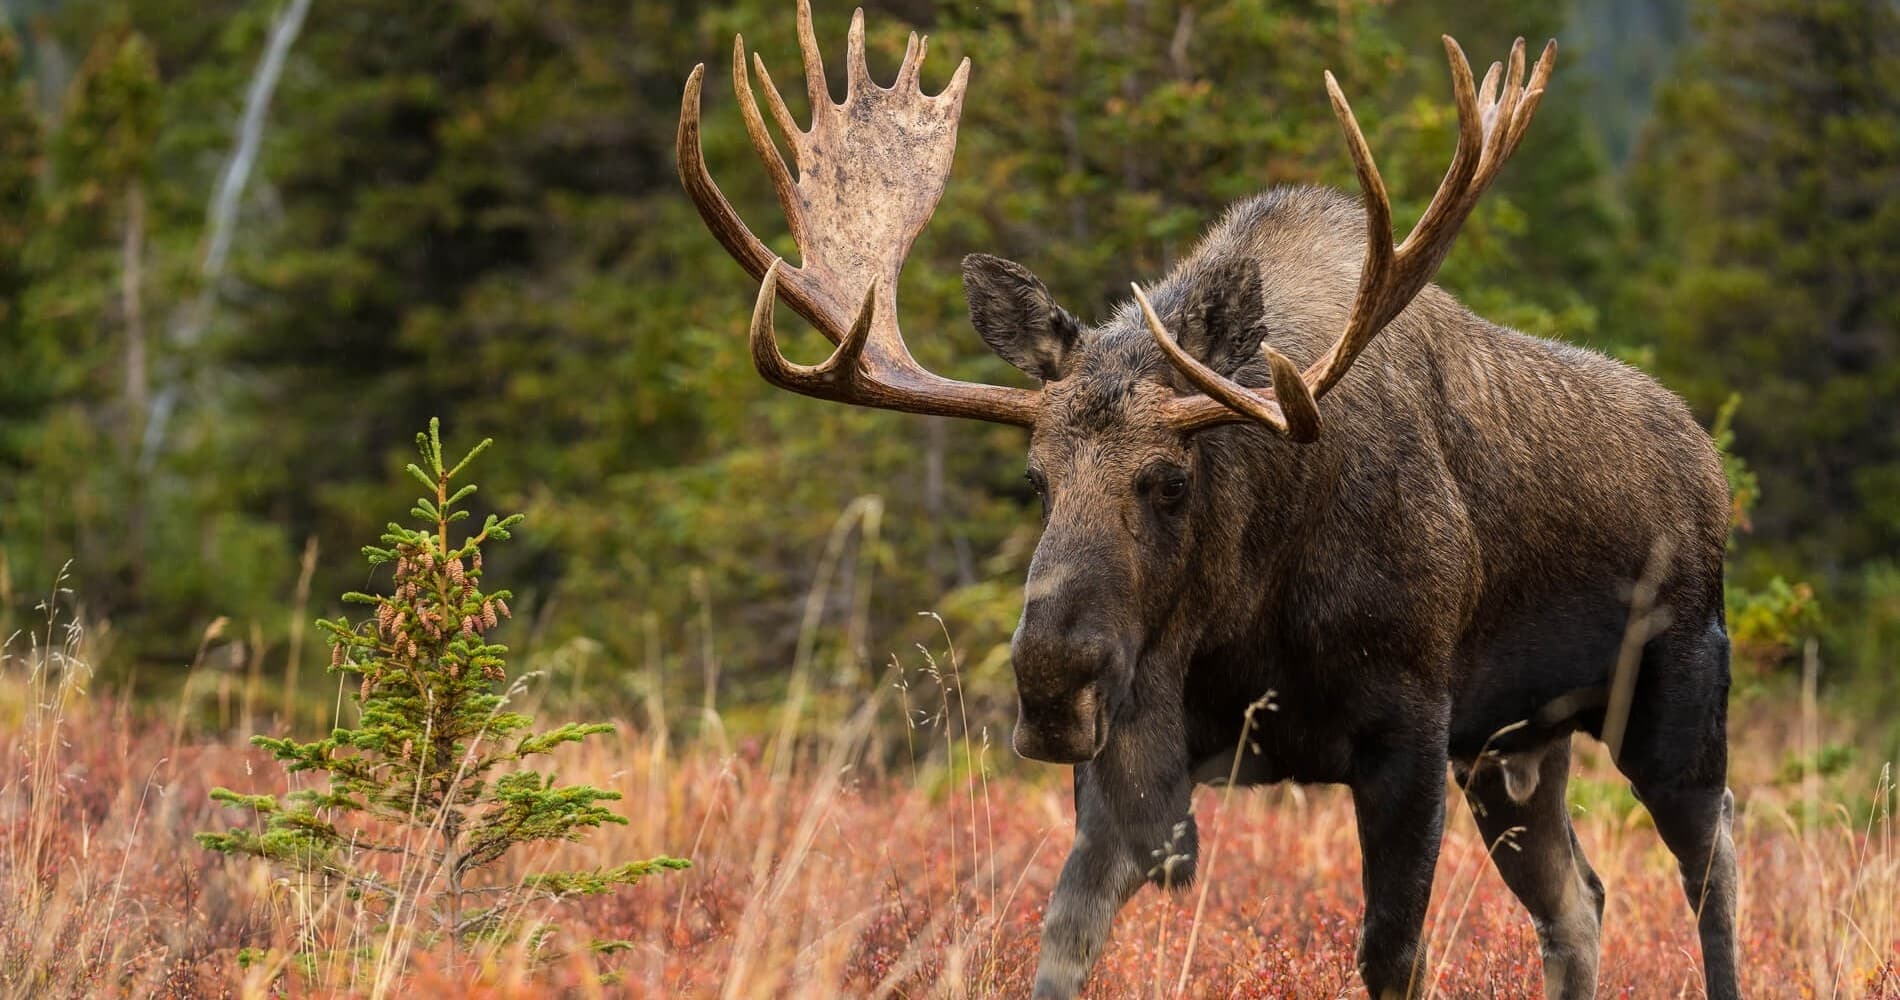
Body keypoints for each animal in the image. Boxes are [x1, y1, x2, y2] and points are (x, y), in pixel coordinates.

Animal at [677, 3, 1740, 998]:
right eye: (1035, 478)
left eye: (1171, 480)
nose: (1050, 682)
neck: (1244, 605)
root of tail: (1708, 461)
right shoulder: (1141, 748)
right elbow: (1064, 938)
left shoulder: (1410, 727)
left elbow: (1391, 955)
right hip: (1515, 748)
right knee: (1581, 900)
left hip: (1672, 698)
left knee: (1712, 865)